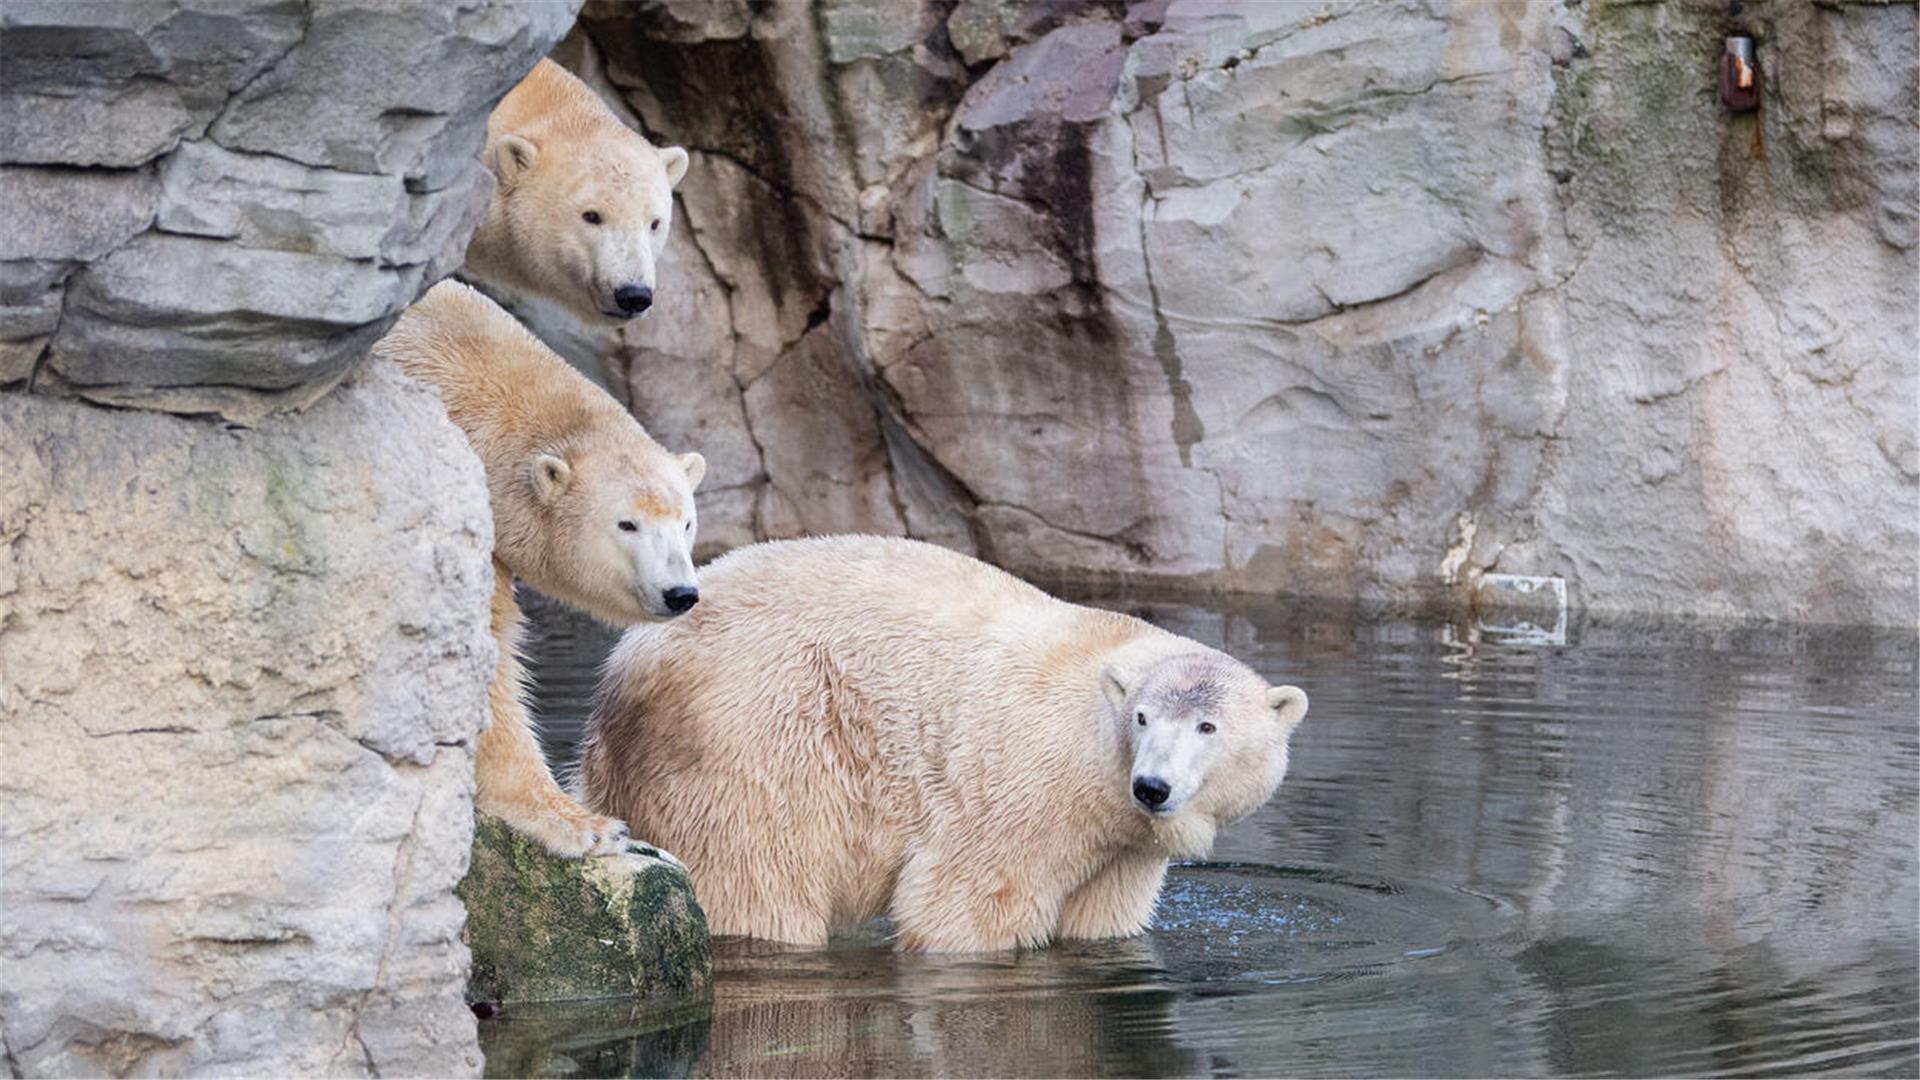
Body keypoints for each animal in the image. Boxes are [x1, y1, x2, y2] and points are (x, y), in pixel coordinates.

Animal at [576, 534, 1313, 945]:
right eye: (1143, 718)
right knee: (757, 879)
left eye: (1208, 726)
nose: (1153, 786)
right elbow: (965, 905)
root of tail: (625, 665)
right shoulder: (1025, 786)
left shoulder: (1122, 845)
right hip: (748, 733)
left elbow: (1101, 916)